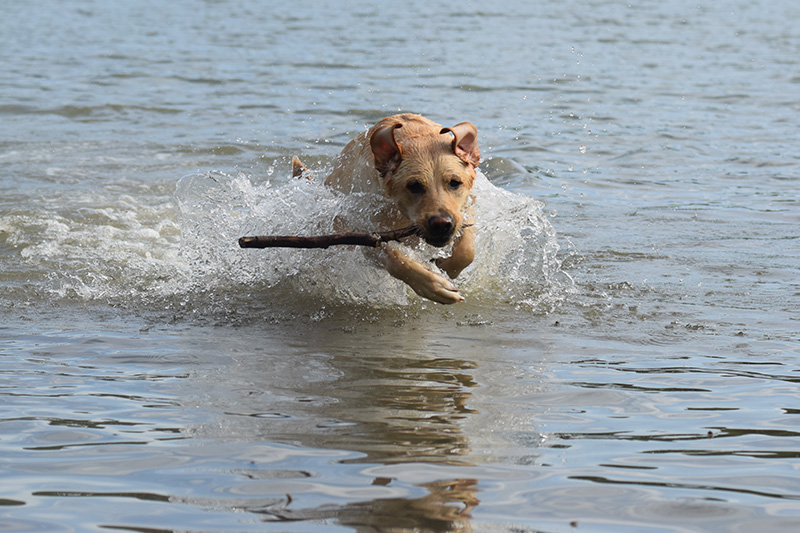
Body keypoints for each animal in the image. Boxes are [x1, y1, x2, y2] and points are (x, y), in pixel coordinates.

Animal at [296, 112, 478, 304]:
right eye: (414, 186)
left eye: (455, 183)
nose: (442, 224)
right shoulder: (361, 233)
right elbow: (394, 257)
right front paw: (433, 285)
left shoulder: (468, 206)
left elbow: (467, 250)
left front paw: (449, 266)